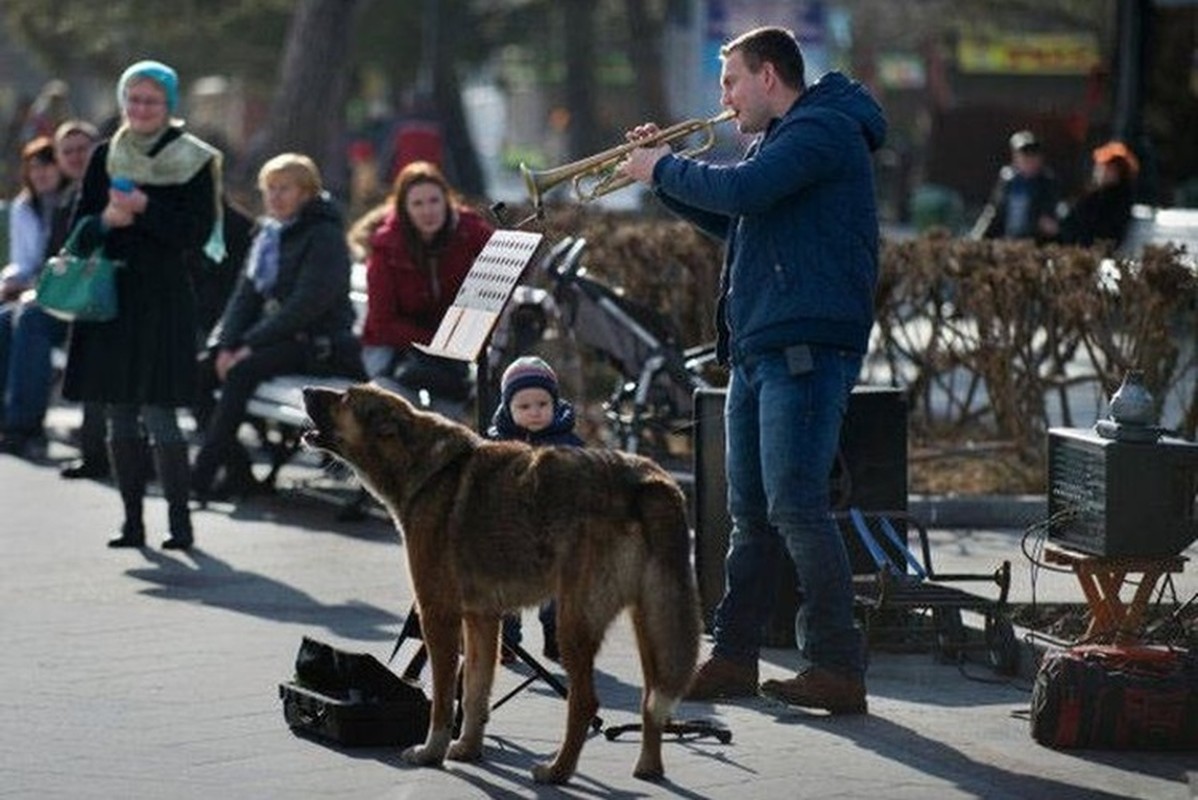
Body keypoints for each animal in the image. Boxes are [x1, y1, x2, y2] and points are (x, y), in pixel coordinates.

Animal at [301, 383, 699, 785]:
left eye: (345, 398)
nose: (305, 389)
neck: (425, 468)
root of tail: (649, 480)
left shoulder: (438, 615)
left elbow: (443, 699)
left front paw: (432, 752)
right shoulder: (481, 619)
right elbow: (475, 693)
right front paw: (467, 748)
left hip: (574, 623)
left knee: (585, 701)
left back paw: (558, 770)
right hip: (650, 621)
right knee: (652, 699)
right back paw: (648, 766)